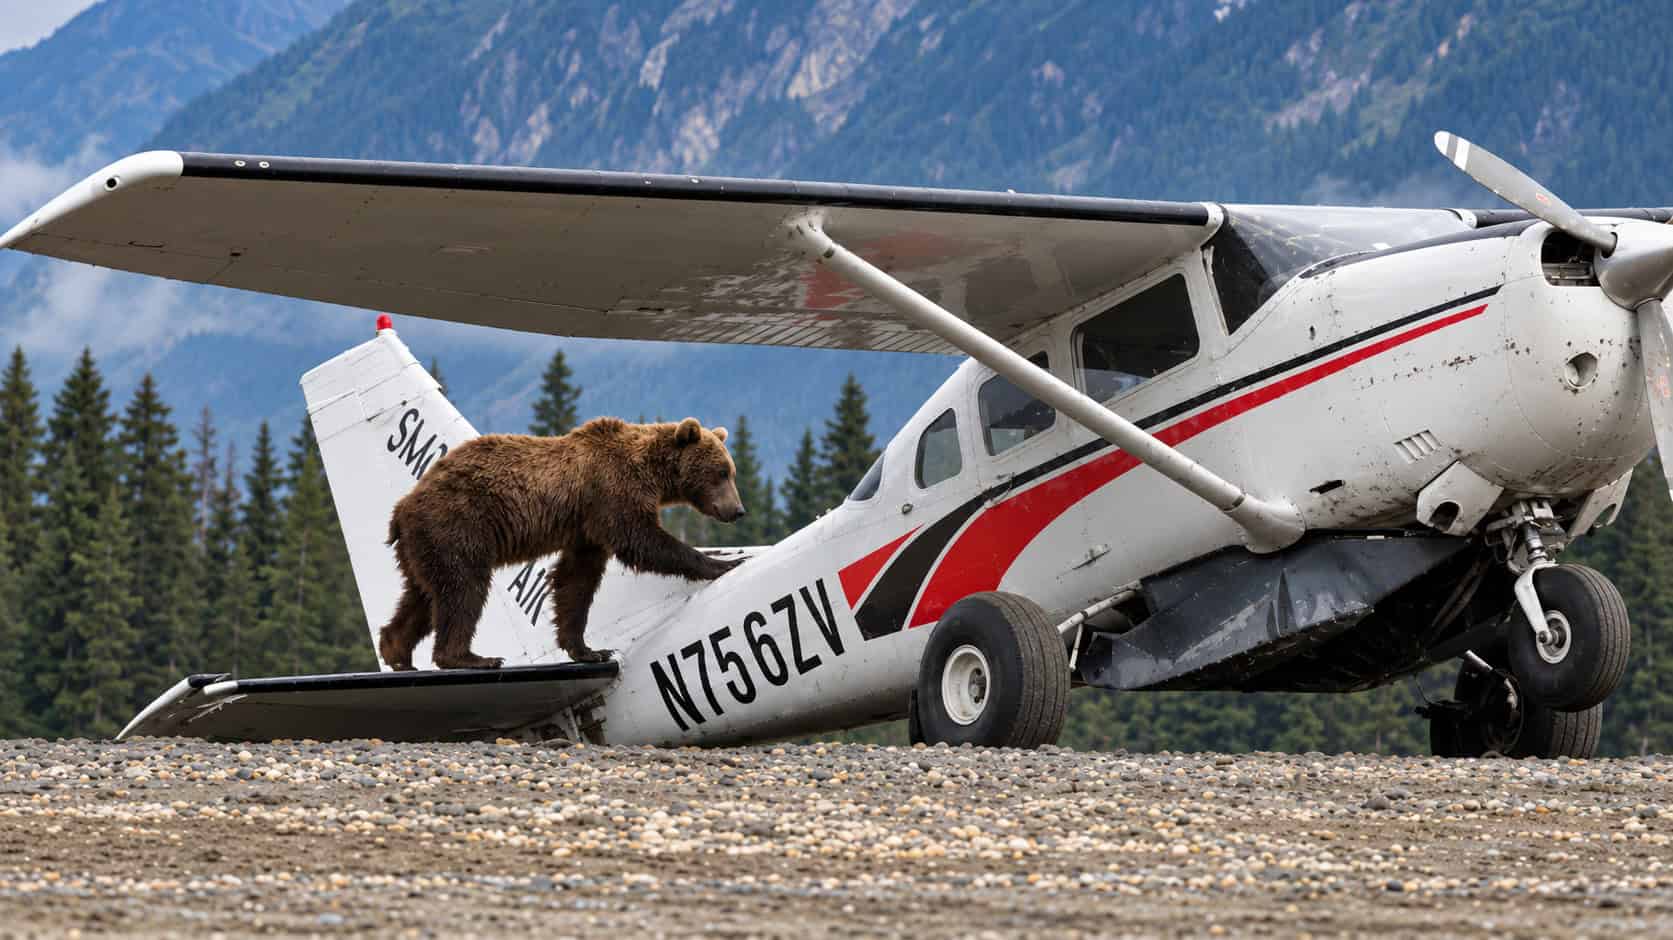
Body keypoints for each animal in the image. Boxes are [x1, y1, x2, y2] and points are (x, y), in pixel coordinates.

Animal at [379, 416, 745, 670]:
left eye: (731, 471)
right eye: (721, 472)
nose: (738, 510)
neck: (651, 473)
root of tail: (402, 508)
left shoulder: (586, 528)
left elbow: (576, 581)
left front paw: (589, 650)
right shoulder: (611, 494)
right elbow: (642, 540)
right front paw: (724, 562)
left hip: (422, 546)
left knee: (423, 596)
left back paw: (397, 652)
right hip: (458, 525)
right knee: (463, 589)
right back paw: (470, 658)